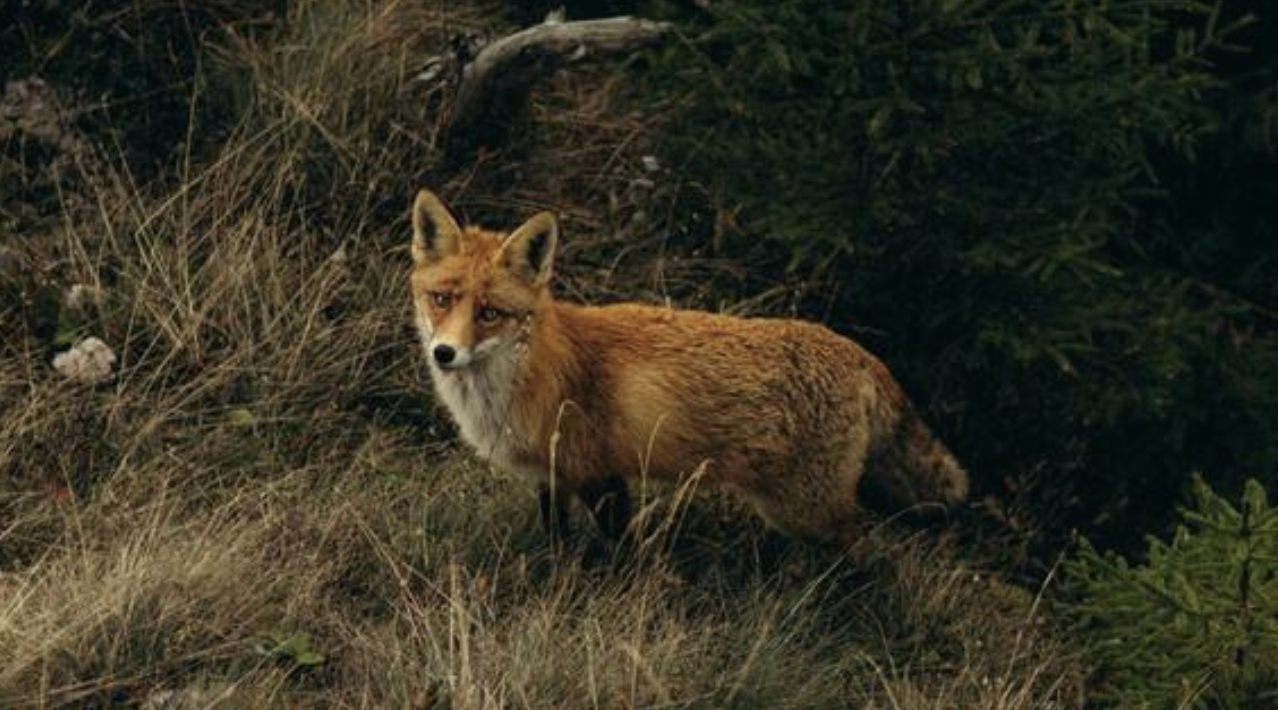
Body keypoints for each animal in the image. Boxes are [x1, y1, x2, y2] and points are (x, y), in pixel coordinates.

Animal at [409, 189, 968, 545]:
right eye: (442, 299)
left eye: (489, 313)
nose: (444, 353)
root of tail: (859, 352)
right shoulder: (552, 478)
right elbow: (557, 547)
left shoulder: (603, 476)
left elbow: (622, 553)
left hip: (808, 510)